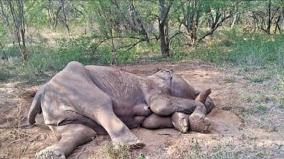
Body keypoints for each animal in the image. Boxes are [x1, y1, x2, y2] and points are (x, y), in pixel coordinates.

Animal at [28, 61, 215, 159]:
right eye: (195, 92)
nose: (211, 102)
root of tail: (41, 91)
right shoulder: (154, 90)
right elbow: (160, 107)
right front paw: (199, 124)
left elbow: (150, 121)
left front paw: (183, 123)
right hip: (73, 82)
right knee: (99, 104)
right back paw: (132, 146)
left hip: (56, 106)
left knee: (79, 130)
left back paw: (49, 155)